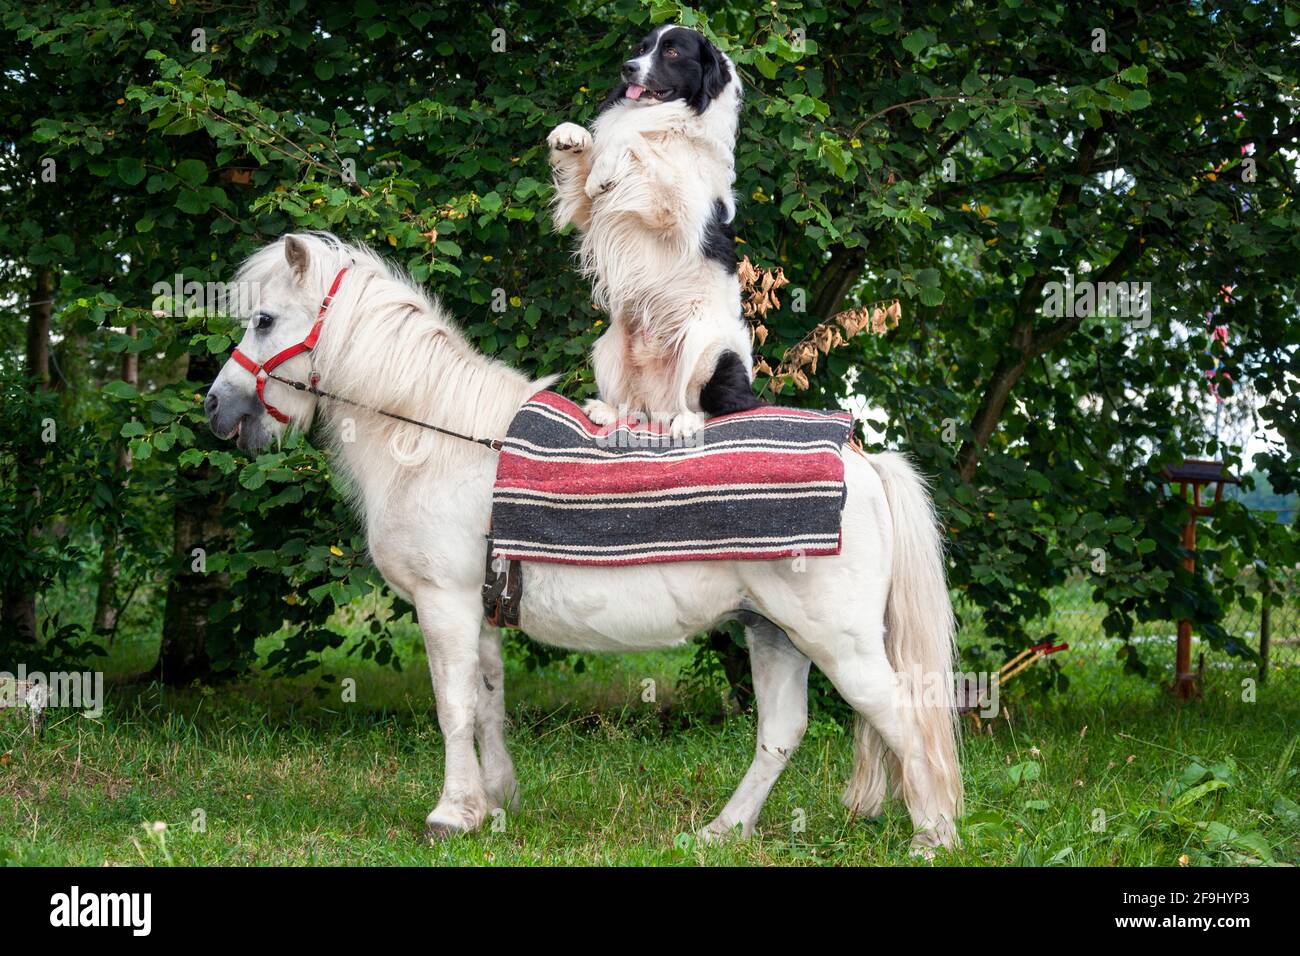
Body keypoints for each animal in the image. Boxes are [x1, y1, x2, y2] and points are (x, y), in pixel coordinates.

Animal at [197, 235, 961, 848]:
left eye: (264, 321)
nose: (215, 406)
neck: (437, 441)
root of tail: (859, 457)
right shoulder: (479, 612)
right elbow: (488, 702)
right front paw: (494, 803)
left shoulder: (442, 602)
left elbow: (453, 706)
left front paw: (451, 814)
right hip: (773, 632)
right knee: (782, 732)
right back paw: (721, 831)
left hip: (838, 641)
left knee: (903, 715)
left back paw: (933, 836)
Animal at [543, 25, 759, 437]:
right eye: (641, 48)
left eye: (672, 53)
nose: (627, 67)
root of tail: (661, 407)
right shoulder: (593, 210)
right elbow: (591, 167)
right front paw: (571, 136)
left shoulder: (676, 212)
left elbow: (632, 139)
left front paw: (607, 162)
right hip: (610, 343)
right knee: (636, 405)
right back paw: (608, 411)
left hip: (708, 345)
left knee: (717, 405)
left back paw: (686, 422)